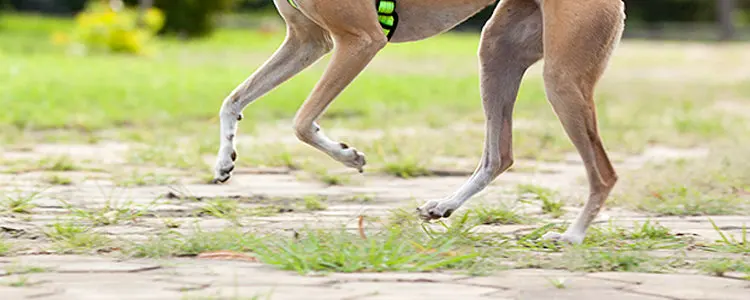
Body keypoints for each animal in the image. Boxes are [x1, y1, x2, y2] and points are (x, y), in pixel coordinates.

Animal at [213, 0, 628, 244]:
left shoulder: (361, 40)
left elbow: (301, 122)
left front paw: (348, 156)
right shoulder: (308, 40)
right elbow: (232, 100)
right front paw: (224, 160)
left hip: (561, 78)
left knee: (604, 173)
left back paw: (572, 236)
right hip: (498, 48)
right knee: (499, 156)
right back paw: (444, 205)